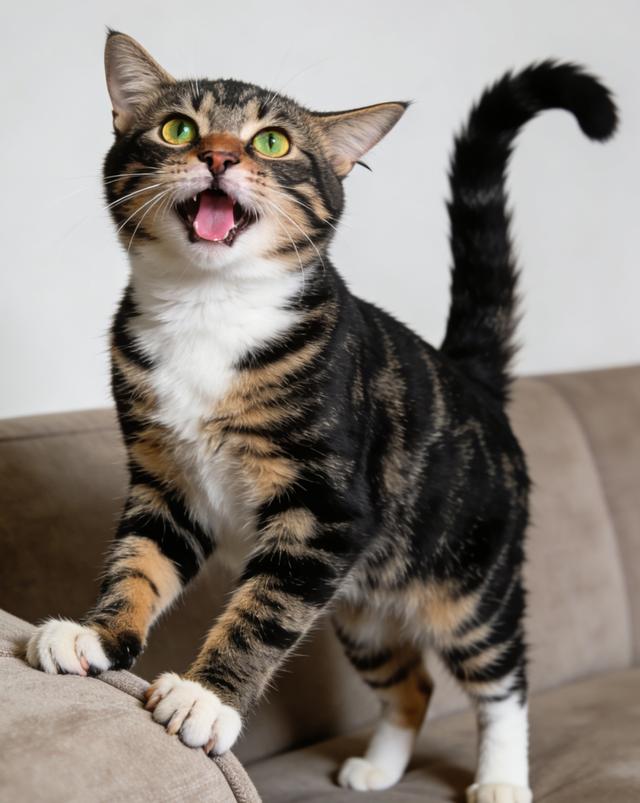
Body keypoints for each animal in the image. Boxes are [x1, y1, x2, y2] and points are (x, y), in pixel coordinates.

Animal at [26, 31, 616, 803]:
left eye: (272, 141)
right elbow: (139, 561)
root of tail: (470, 377)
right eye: (177, 128)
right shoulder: (165, 483)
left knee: (500, 674)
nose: (219, 156)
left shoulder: (328, 512)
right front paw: (96, 637)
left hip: (470, 578)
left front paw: (206, 698)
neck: (209, 310)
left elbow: (264, 612)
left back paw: (500, 779)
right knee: (412, 684)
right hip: (363, 606)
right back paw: (380, 765)